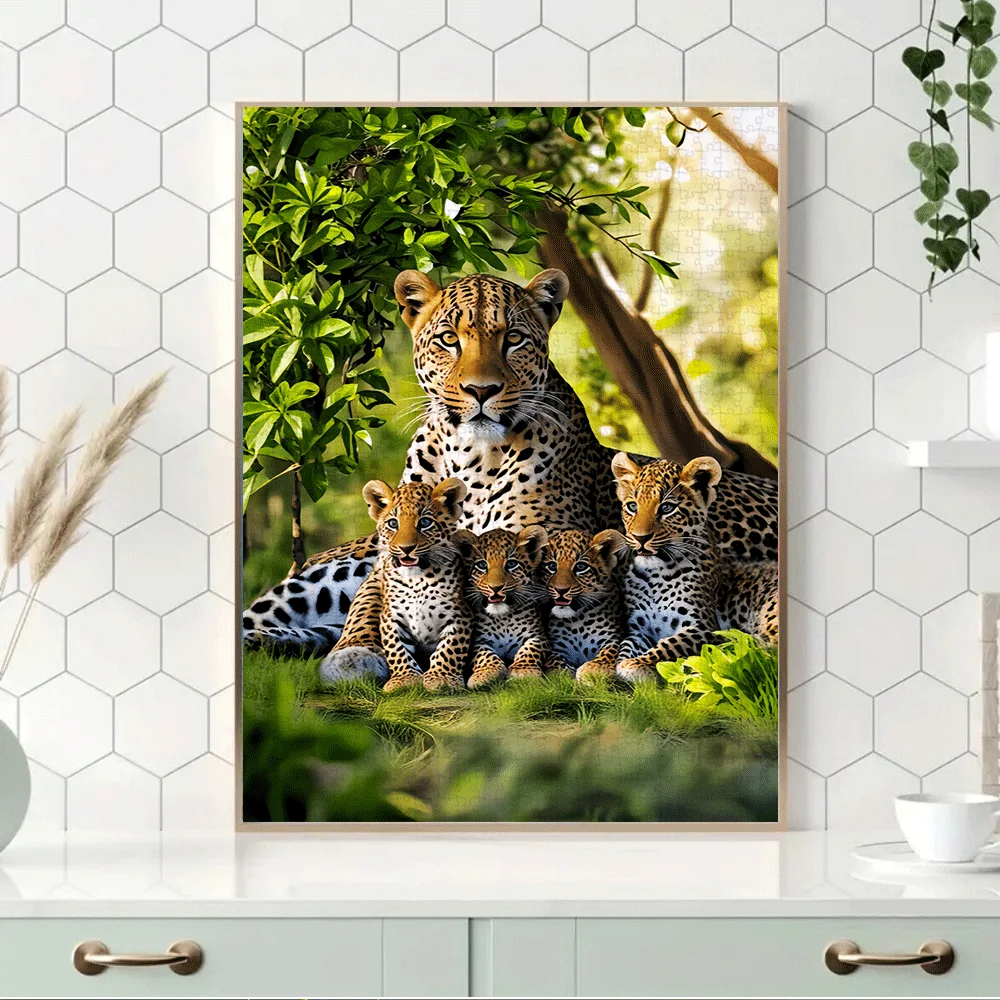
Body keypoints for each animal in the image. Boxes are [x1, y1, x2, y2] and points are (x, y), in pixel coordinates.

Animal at [317, 478, 473, 693]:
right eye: (393, 523)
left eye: (425, 522)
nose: (406, 549)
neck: (417, 581)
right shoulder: (392, 616)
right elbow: (397, 648)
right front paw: (404, 679)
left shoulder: (458, 615)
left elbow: (450, 649)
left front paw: (442, 677)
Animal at [452, 526, 550, 688]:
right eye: (482, 565)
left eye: (511, 564)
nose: (495, 588)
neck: (503, 618)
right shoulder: (478, 641)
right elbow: (484, 655)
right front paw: (485, 673)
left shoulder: (539, 636)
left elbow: (530, 649)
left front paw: (523, 670)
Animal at [540, 528, 628, 682]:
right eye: (551, 566)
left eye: (581, 567)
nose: (560, 590)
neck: (577, 621)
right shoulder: (558, 647)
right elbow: (553, 661)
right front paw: (561, 675)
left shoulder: (613, 638)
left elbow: (610, 652)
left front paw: (593, 670)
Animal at [611, 453, 778, 684]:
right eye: (632, 507)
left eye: (666, 508)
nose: (640, 538)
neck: (654, 575)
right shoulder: (639, 627)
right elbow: (625, 645)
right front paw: (610, 666)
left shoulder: (703, 628)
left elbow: (669, 645)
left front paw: (635, 665)